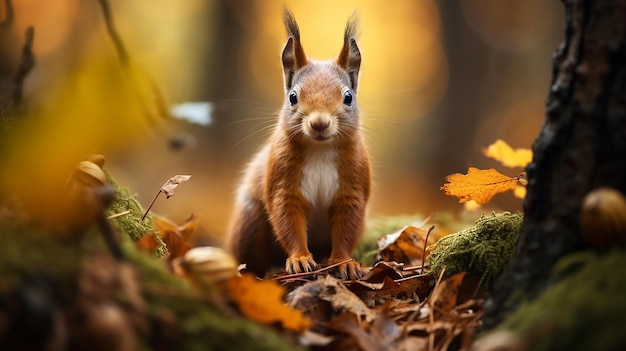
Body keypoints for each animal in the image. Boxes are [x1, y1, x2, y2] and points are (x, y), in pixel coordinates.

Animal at [225, 8, 368, 280]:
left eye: (348, 97)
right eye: (292, 97)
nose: (319, 123)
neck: (320, 149)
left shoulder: (353, 184)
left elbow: (347, 226)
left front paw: (343, 261)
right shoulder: (283, 182)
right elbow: (287, 218)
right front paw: (300, 258)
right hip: (250, 220)